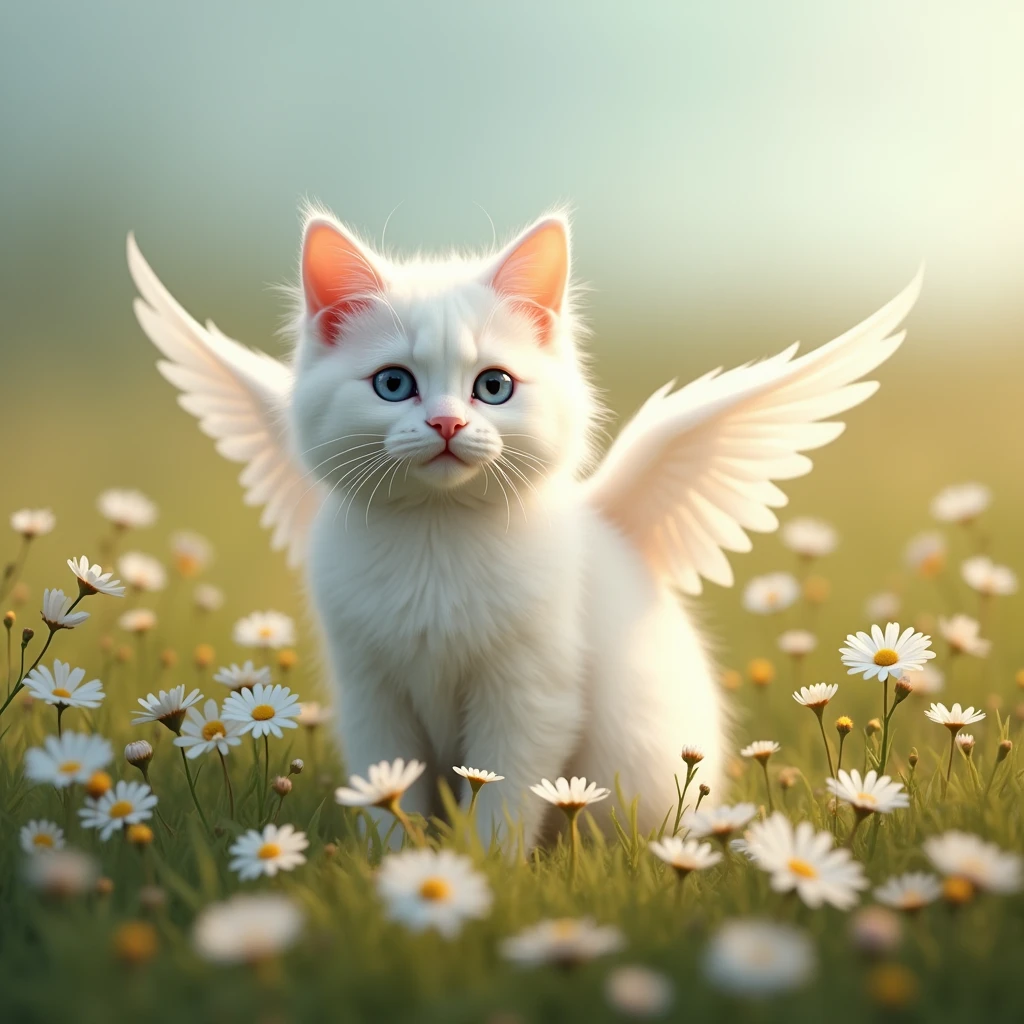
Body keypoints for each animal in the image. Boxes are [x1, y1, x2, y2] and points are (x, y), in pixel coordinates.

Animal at [128, 211, 921, 843]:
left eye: (494, 386)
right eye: (393, 383)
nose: (448, 424)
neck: (438, 537)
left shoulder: (530, 693)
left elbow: (503, 802)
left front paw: (483, 876)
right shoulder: (371, 691)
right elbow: (391, 794)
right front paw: (396, 873)